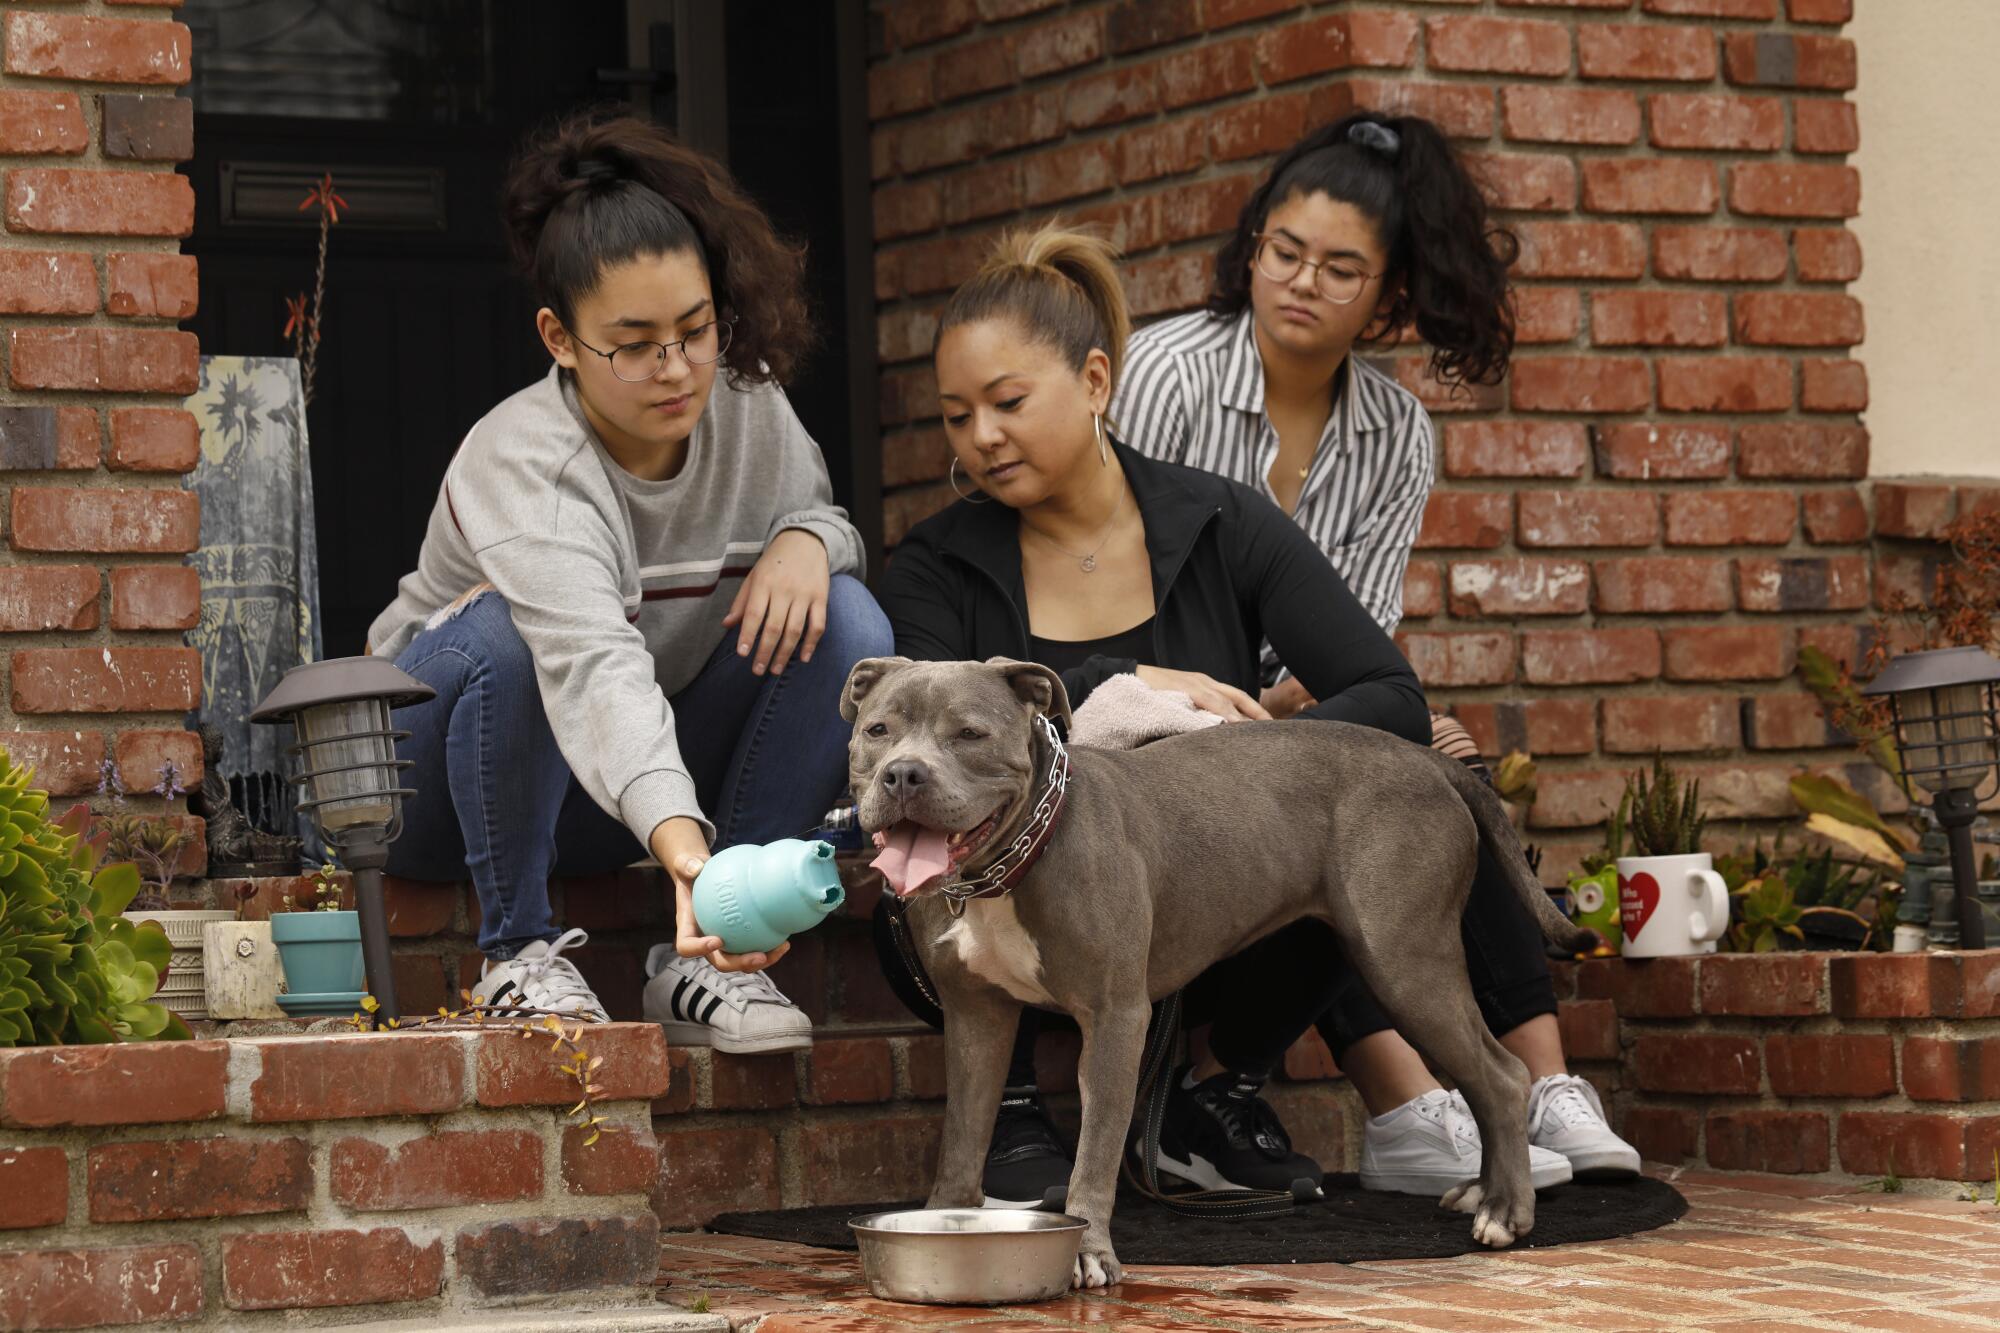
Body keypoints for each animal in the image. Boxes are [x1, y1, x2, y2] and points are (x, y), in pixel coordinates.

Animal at [844, 656, 1592, 1288]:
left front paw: (1089, 1252)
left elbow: (1096, 1149)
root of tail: (1427, 759)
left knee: (1500, 1074)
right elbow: (962, 1139)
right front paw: (940, 1221)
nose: (903, 774)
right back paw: (1486, 1193)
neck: (1013, 863)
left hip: (1405, 962)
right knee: (1484, 1076)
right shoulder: (977, 1018)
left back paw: (1506, 1212)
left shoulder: (1116, 1019)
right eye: (878, 730)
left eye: (969, 733)